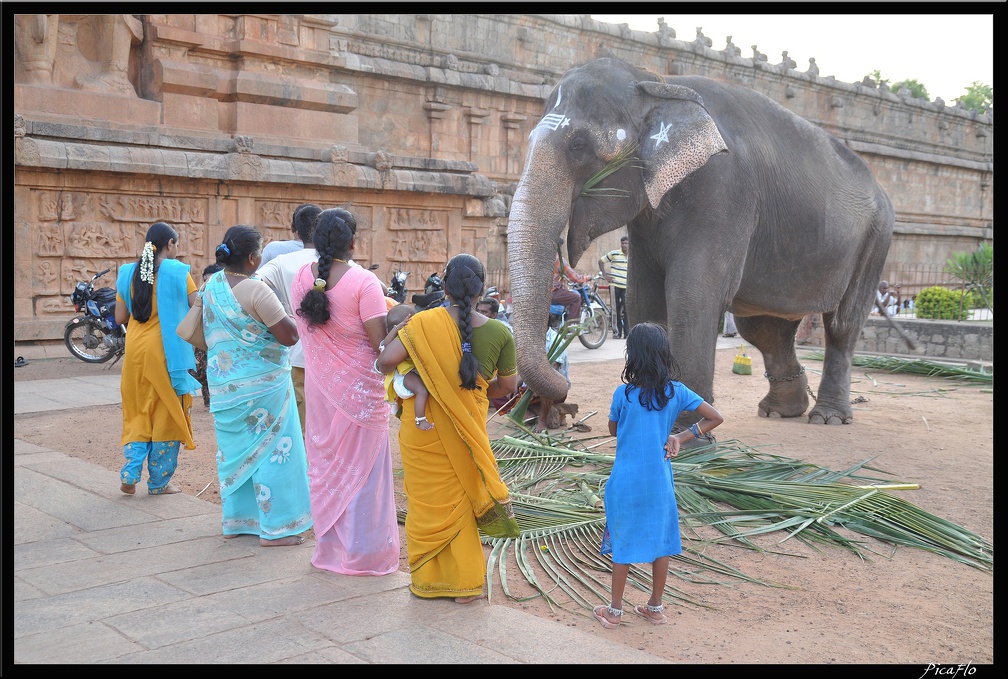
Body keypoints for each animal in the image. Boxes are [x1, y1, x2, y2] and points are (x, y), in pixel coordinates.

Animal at [508, 59, 895, 429]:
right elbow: (642, 297)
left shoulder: (725, 189)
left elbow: (692, 294)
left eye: (578, 146)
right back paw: (779, 411)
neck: (658, 82)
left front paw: (689, 435)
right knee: (765, 328)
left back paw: (828, 417)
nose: (562, 390)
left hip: (876, 237)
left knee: (842, 323)